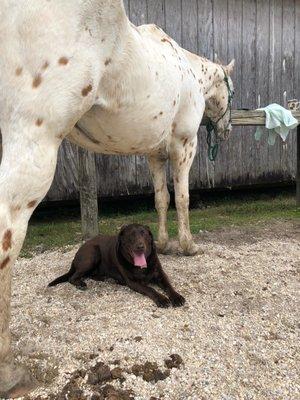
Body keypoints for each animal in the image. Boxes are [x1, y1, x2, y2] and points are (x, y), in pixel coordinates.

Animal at [48, 223, 185, 308]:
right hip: (93, 253)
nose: (140, 246)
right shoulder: (133, 282)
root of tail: (77, 252)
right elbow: (150, 289)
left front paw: (176, 297)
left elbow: (168, 285)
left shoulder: (160, 274)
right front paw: (162, 299)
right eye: (131, 235)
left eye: (144, 233)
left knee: (91, 274)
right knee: (72, 277)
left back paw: (107, 278)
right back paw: (81, 284)